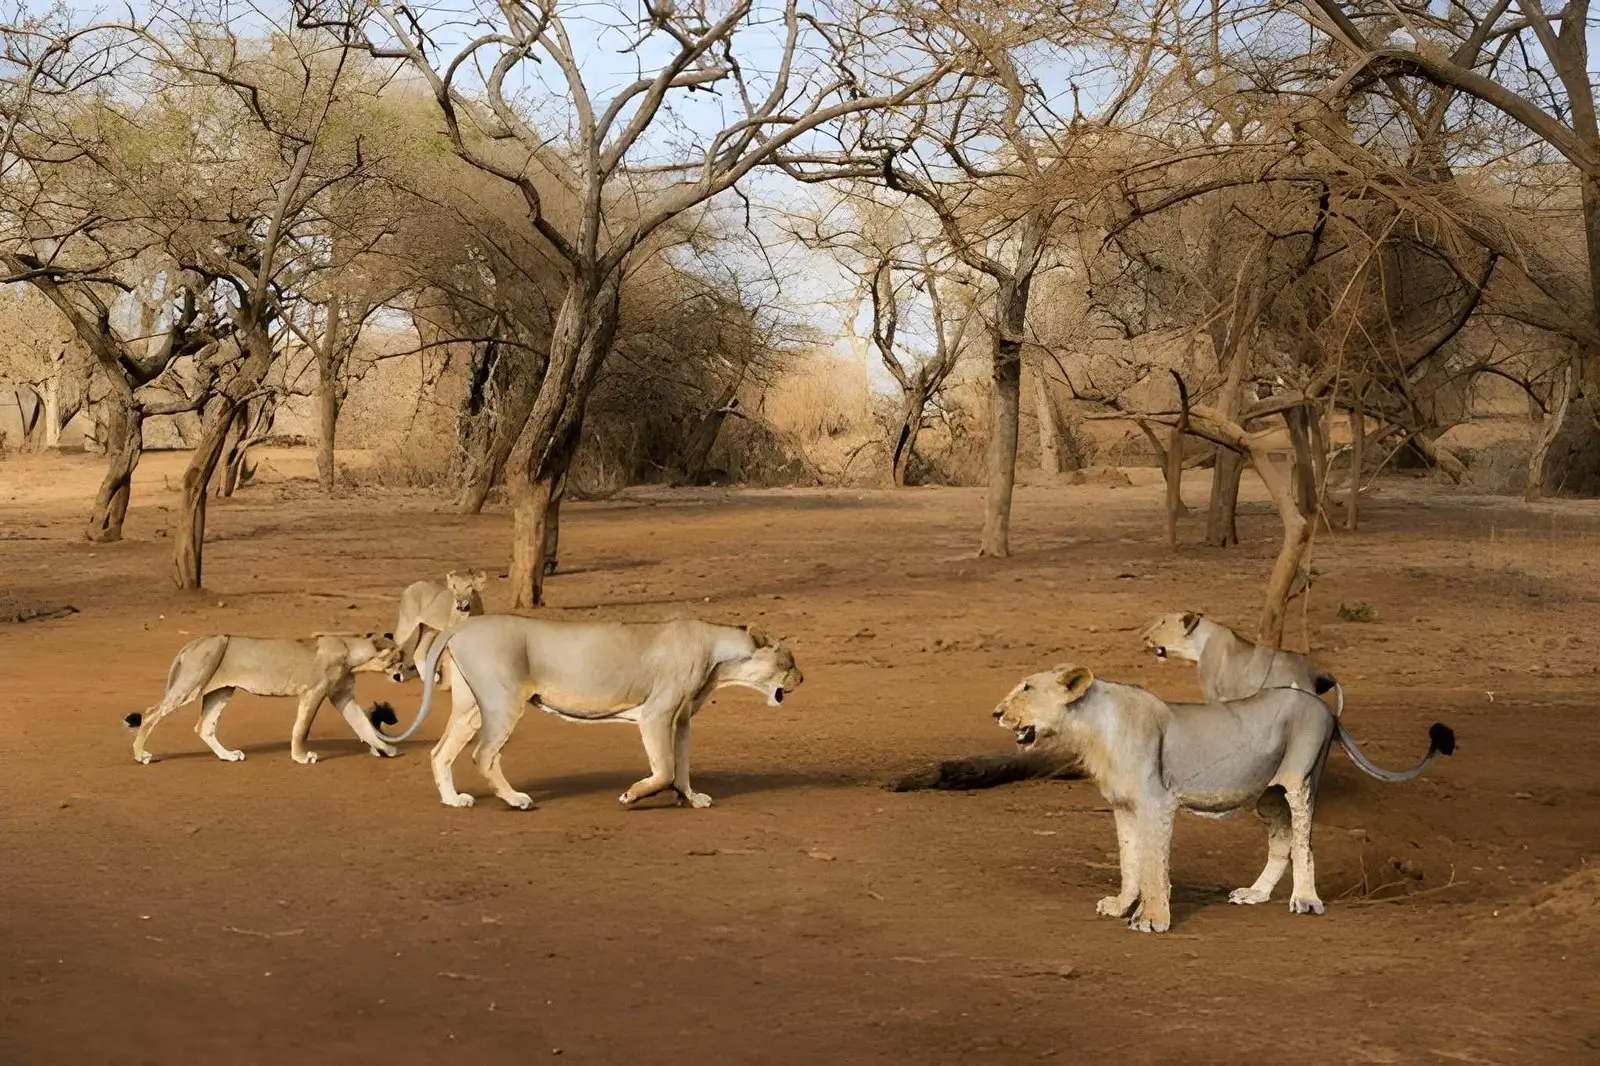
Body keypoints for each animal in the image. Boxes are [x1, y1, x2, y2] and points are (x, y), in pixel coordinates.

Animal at [125, 633, 405, 765]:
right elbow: (301, 729)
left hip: (221, 691)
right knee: (151, 712)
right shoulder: (314, 691)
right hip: (192, 684)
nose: (405, 672)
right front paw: (301, 757)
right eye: (399, 658)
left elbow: (364, 726)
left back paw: (228, 756)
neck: (353, 653)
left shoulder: (342, 696)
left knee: (204, 726)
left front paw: (387, 749)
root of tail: (195, 642)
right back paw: (142, 756)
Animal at [375, 615, 803, 810]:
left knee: (440, 752)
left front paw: (692, 798)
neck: (719, 658)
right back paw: (516, 800)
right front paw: (632, 795)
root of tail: (461, 626)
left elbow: (681, 767)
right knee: (484, 754)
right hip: (503, 701)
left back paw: (453, 800)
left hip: (471, 708)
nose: (802, 677)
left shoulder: (681, 721)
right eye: (788, 661)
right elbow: (664, 770)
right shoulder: (655, 714)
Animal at [992, 663, 1454, 933]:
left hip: (1301, 778)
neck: (1090, 727)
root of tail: (1326, 709)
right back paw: (1255, 895)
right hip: (1267, 795)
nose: (996, 712)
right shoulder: (1123, 806)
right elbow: (1129, 861)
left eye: (1027, 688)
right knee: (1283, 842)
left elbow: (1154, 865)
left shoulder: (1156, 802)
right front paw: (1122, 905)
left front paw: (1152, 919)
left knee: (1304, 844)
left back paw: (1306, 901)